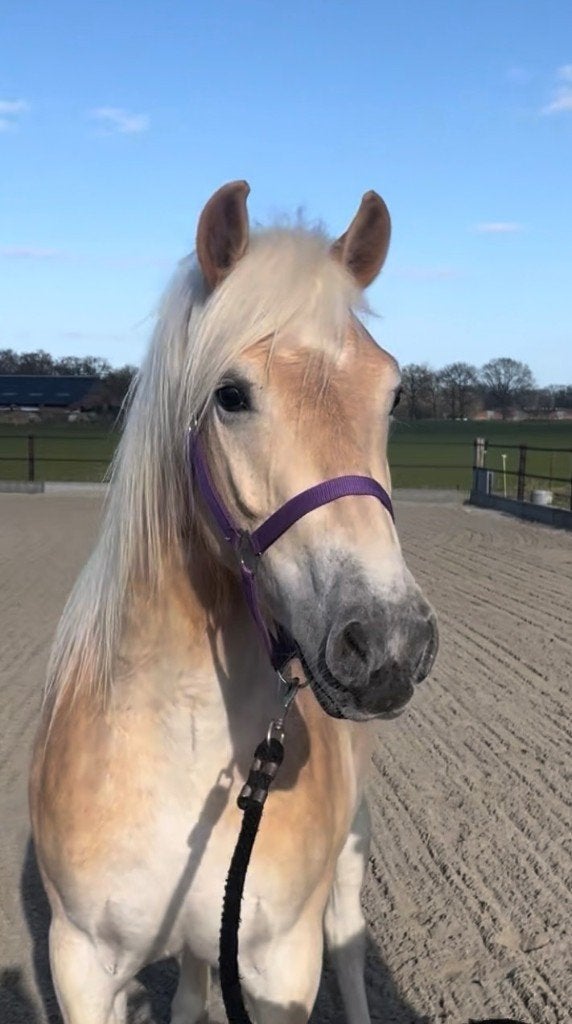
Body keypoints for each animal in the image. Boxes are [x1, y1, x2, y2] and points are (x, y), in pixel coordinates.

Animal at [29, 181, 438, 1024]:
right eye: (231, 395)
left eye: (393, 393)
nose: (388, 645)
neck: (178, 747)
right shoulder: (81, 963)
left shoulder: (283, 964)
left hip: (352, 852)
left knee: (350, 947)